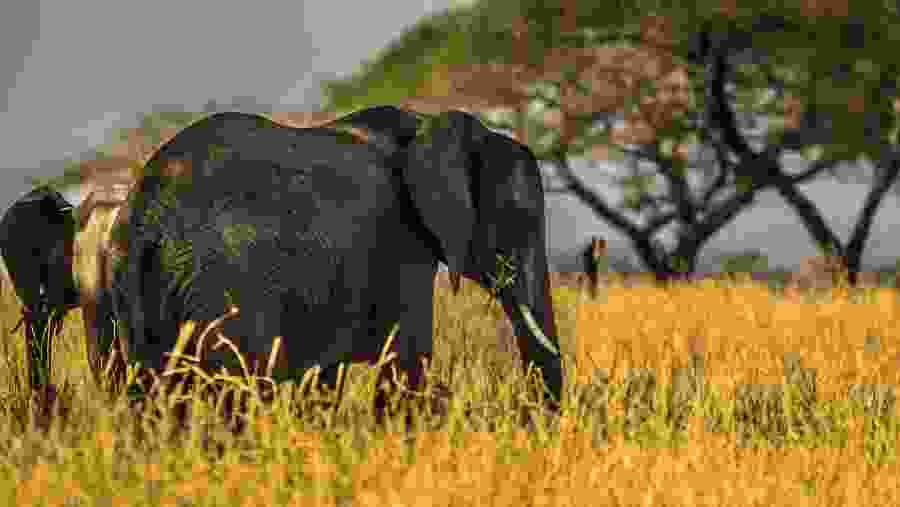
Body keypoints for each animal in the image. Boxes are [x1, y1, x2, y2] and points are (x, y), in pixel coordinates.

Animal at [108, 106, 565, 417]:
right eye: (518, 221)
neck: (428, 124)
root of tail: (150, 209)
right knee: (240, 390)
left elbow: (324, 378)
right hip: (223, 284)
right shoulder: (403, 243)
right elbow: (406, 361)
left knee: (152, 394)